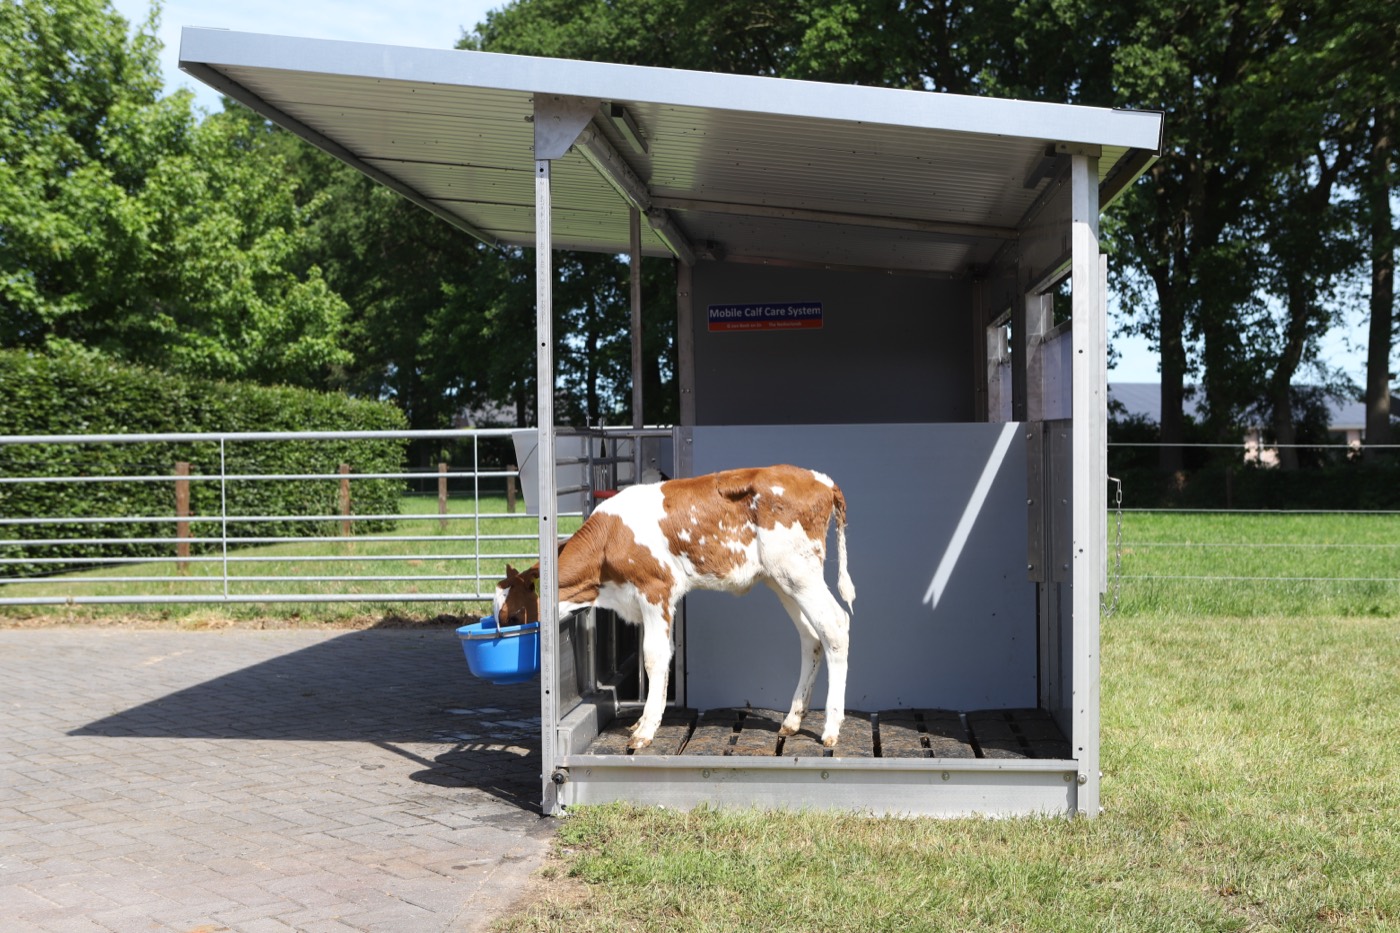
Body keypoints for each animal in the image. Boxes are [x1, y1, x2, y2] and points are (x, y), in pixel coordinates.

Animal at [492, 464, 855, 750]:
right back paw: (792, 720)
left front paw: (646, 730)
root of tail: (820, 479)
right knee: (811, 637)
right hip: (782, 580)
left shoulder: (656, 588)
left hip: (799, 571)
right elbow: (661, 654)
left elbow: (654, 656)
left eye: (513, 614)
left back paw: (831, 728)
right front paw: (644, 721)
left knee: (835, 626)